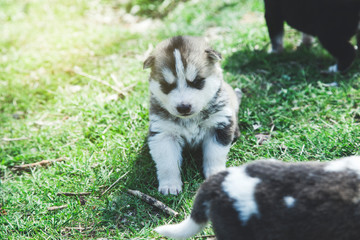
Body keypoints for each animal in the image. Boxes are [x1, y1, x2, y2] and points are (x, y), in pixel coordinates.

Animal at [143, 36, 242, 196]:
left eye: (197, 82)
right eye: (167, 86)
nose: (183, 107)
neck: (189, 119)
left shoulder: (219, 125)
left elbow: (214, 154)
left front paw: (215, 174)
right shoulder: (163, 134)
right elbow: (167, 162)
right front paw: (170, 184)